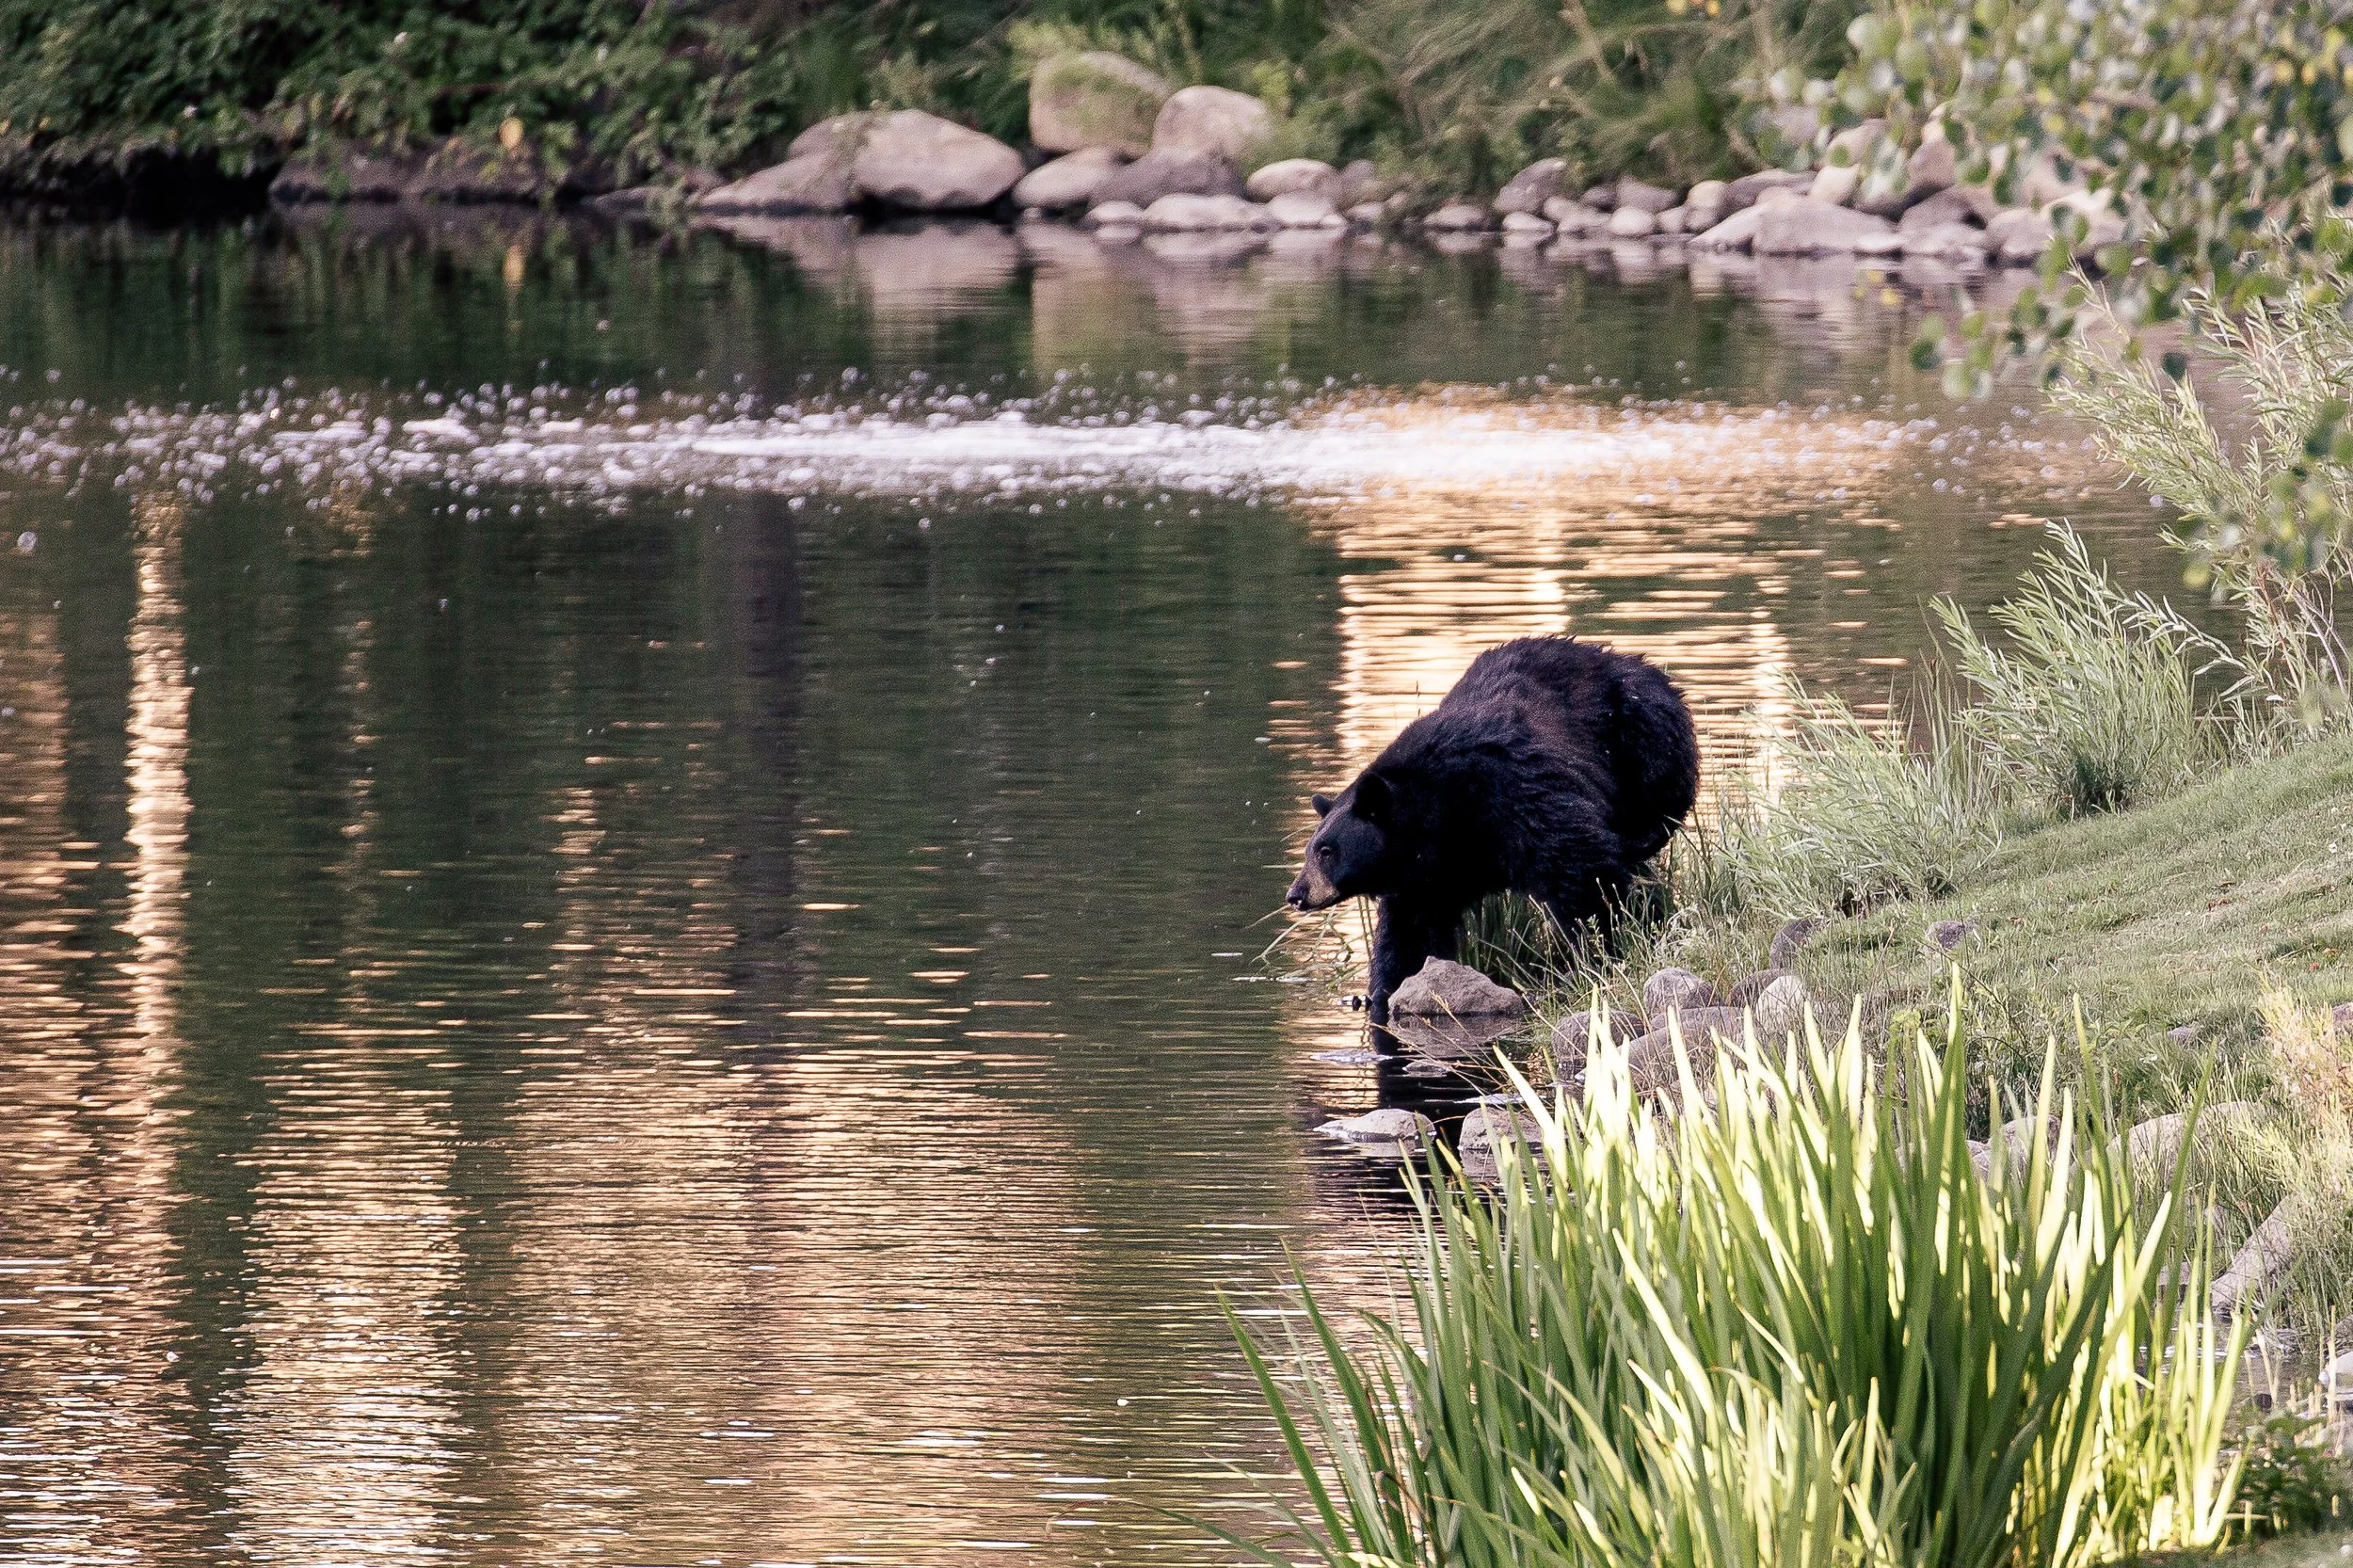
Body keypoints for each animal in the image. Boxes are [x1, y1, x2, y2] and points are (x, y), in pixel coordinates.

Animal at [1286, 636, 1699, 1024]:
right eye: (1310, 849)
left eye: (1326, 850)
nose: (1296, 894)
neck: (1434, 809)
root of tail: (1619, 656)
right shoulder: (1424, 873)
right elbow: (1410, 932)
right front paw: (1383, 991)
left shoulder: (1509, 791)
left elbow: (1580, 869)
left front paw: (1607, 944)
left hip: (1642, 727)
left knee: (1655, 798)